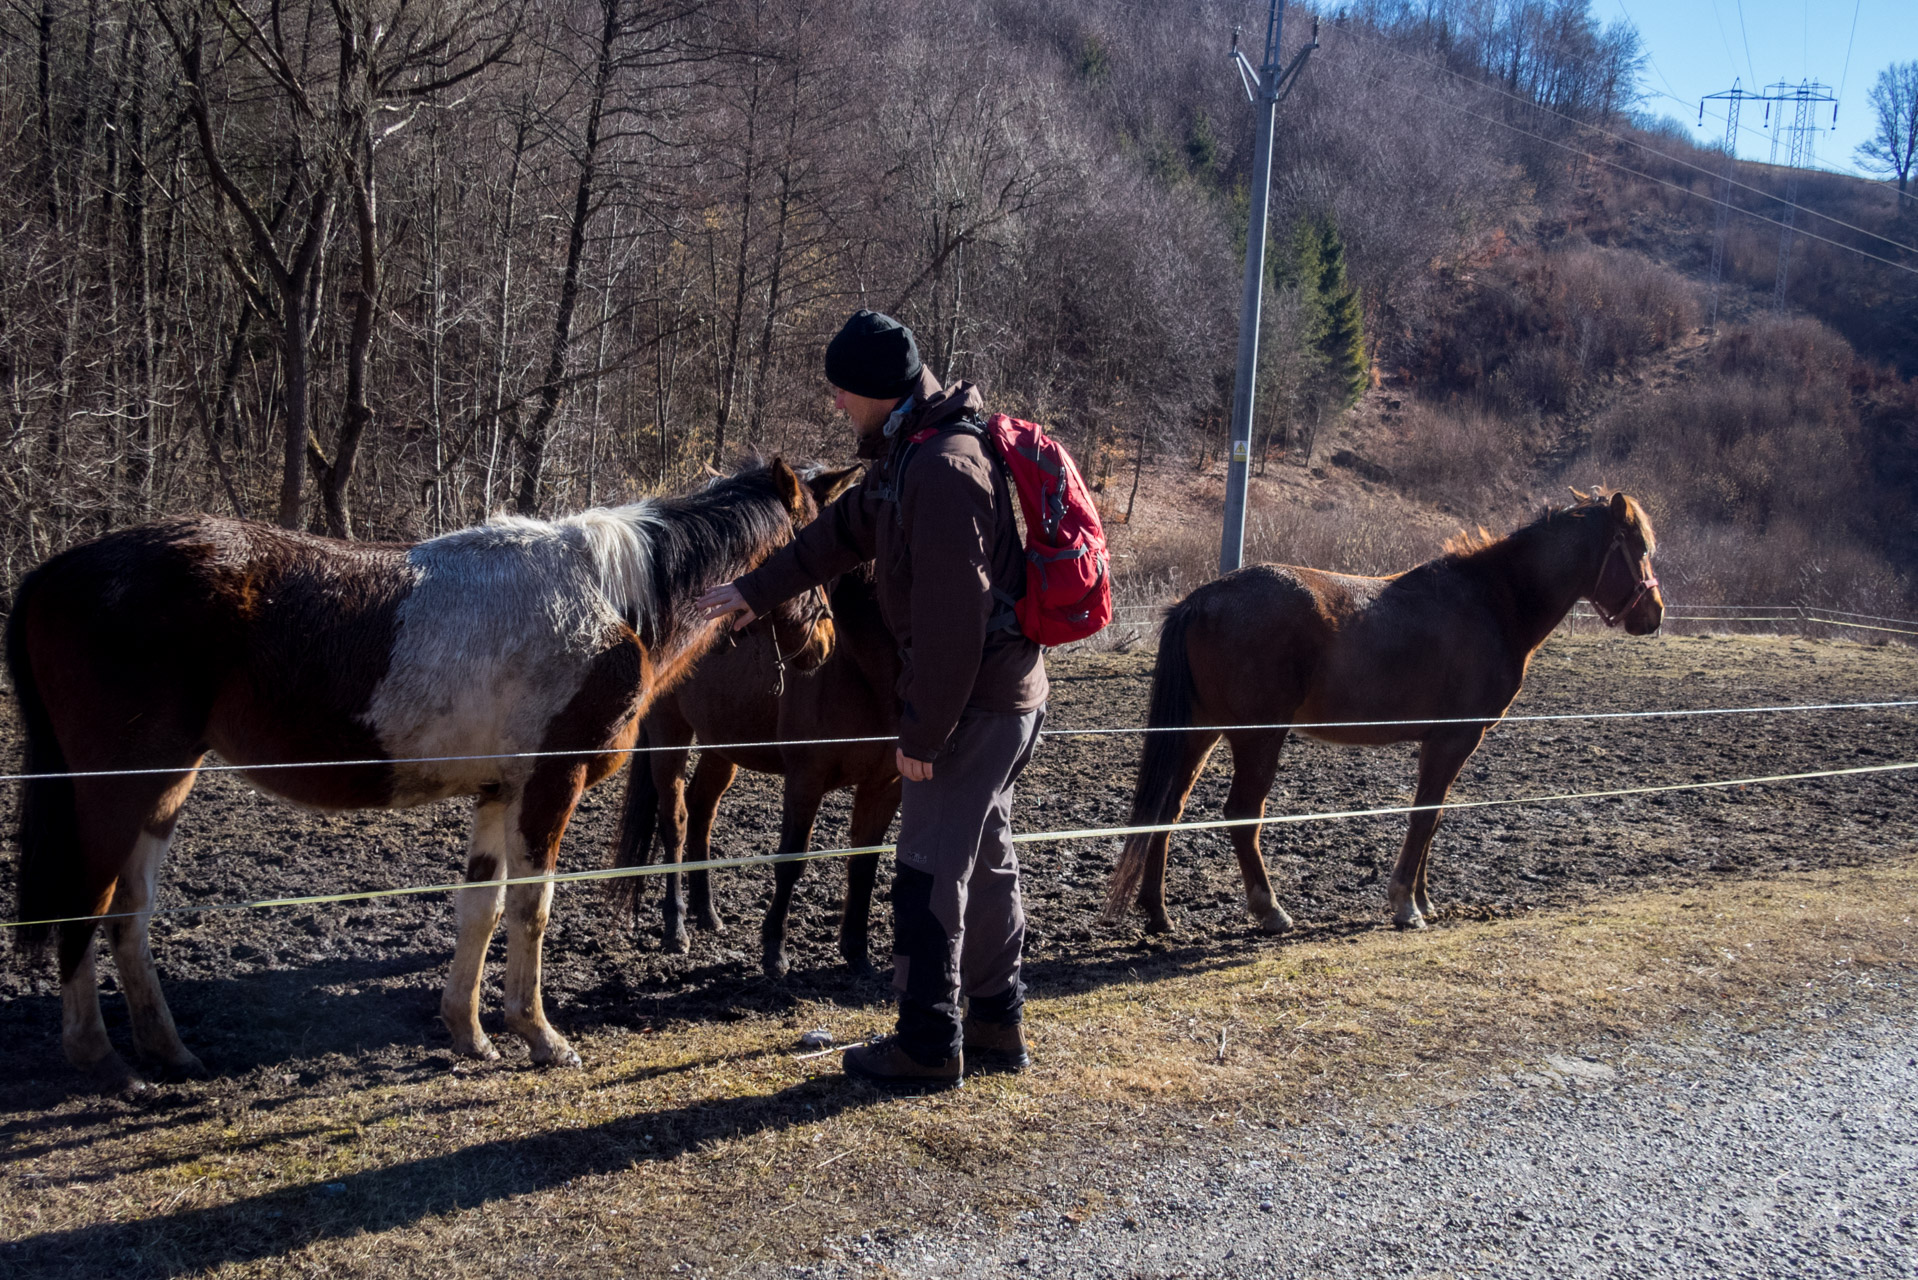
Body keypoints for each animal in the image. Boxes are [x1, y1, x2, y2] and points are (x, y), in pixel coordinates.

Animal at [7, 454, 836, 1090]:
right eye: (811, 541)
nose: (824, 642)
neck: (611, 599)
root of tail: (53, 572)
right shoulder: (549, 785)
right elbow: (532, 909)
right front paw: (540, 1035)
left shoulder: (501, 791)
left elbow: (481, 910)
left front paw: (469, 1033)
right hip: (118, 786)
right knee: (84, 904)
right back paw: (102, 1059)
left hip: (164, 787)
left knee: (129, 912)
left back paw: (168, 1050)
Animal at [617, 502, 909, 982]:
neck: (859, 668)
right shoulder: (806, 780)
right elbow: (791, 860)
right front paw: (775, 950)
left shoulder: (885, 785)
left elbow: (864, 862)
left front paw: (857, 952)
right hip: (669, 737)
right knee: (675, 820)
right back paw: (677, 926)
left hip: (722, 748)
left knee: (702, 809)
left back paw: (706, 912)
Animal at [1112, 485, 1664, 936]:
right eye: (1638, 549)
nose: (1654, 614)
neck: (1492, 601)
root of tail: (1200, 600)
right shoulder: (1453, 740)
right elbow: (1424, 816)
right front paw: (1406, 904)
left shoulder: (1443, 743)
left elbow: (1432, 817)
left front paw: (1424, 898)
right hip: (1257, 737)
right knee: (1243, 816)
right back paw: (1270, 910)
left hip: (1198, 733)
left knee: (1168, 809)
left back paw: (1158, 913)